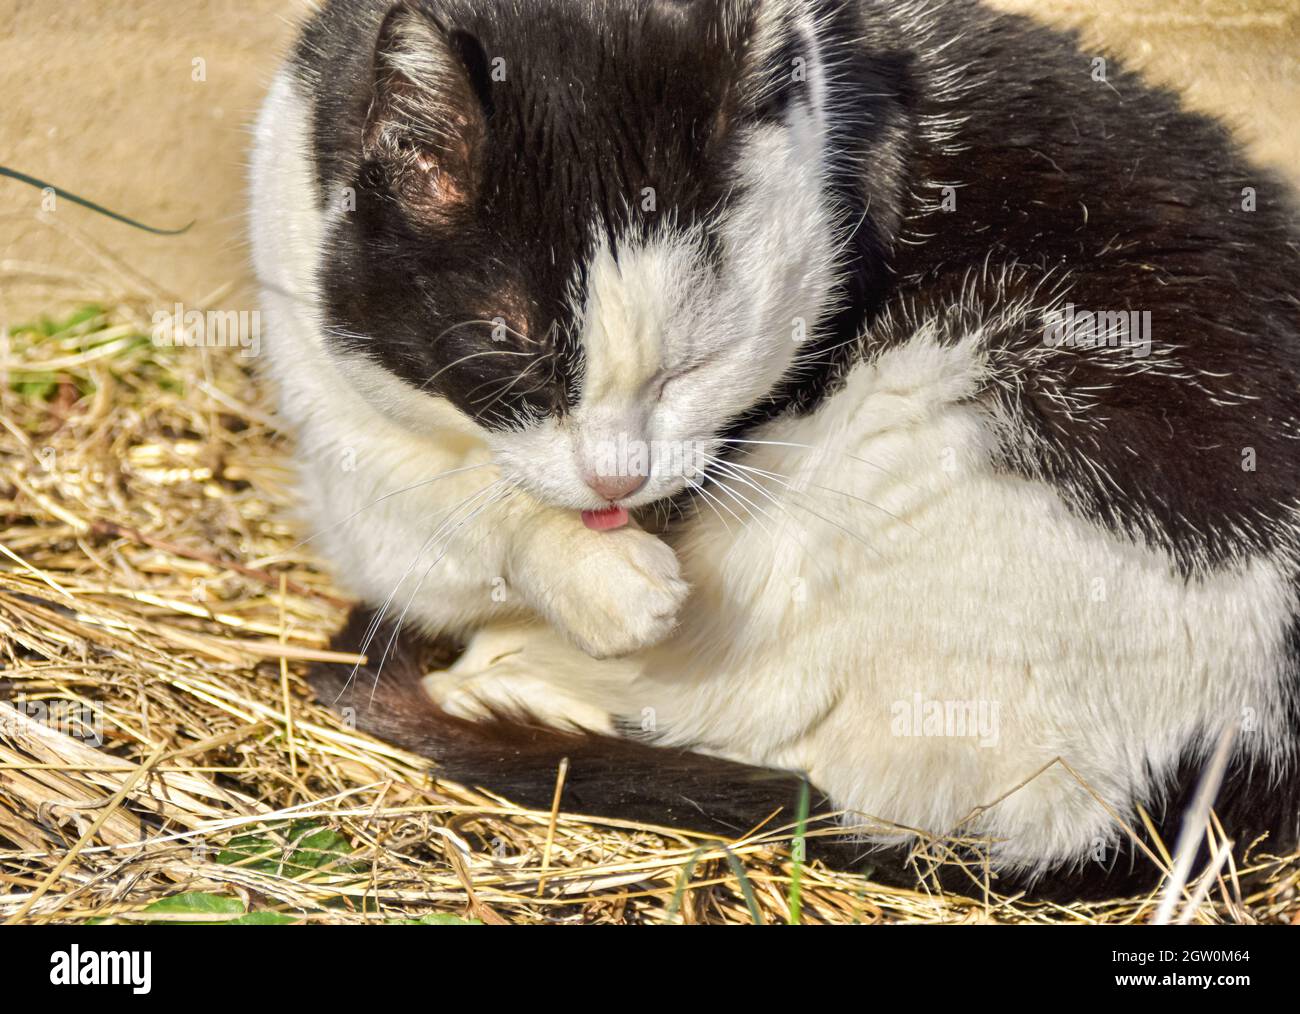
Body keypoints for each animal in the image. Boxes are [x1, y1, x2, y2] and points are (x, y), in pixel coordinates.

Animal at [250, 0, 1300, 894]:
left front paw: (590, 589)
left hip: (945, 421)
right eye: (508, 344)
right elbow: (411, 500)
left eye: (693, 366)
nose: (618, 475)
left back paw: (514, 679)